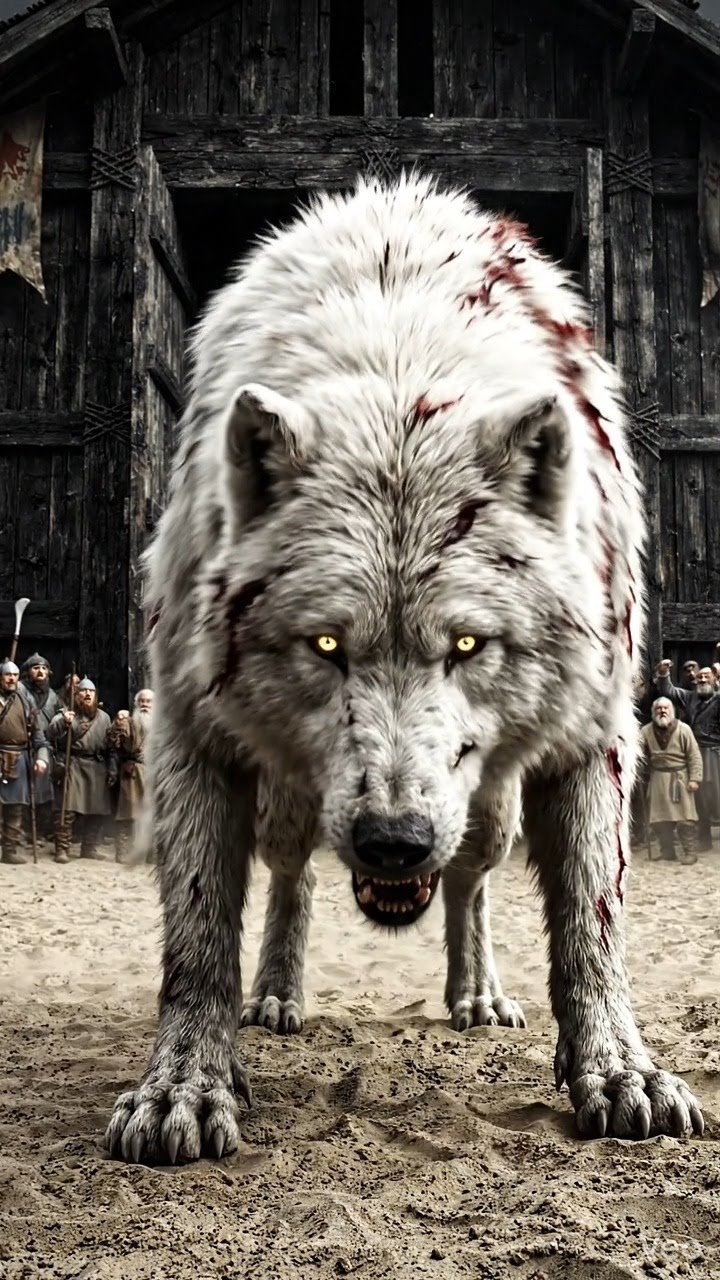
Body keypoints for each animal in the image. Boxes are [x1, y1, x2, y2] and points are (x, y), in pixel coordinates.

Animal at [105, 175, 703, 1164]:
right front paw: (183, 1088)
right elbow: (196, 941)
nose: (394, 842)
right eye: (325, 646)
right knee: (292, 874)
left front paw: (621, 1075)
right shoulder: (189, 732)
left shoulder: (596, 738)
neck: (399, 364)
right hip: (288, 801)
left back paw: (477, 996)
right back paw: (277, 995)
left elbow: (593, 931)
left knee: (472, 883)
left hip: (489, 815)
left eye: (465, 646)